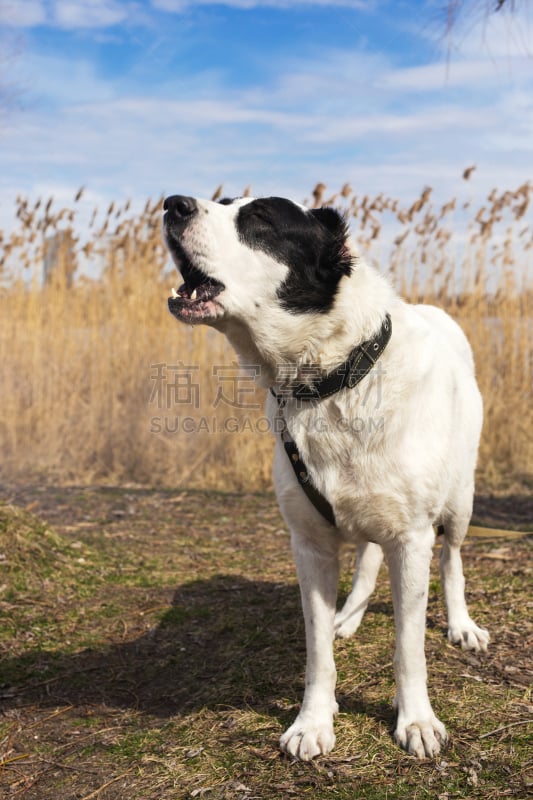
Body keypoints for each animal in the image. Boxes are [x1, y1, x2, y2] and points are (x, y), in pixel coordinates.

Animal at [163, 194, 490, 764]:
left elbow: (408, 646)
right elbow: (317, 648)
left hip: (460, 500)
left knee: (451, 559)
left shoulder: (412, 538)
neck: (334, 378)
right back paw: (350, 616)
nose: (172, 204)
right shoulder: (310, 543)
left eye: (259, 221)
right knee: (368, 556)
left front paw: (417, 721)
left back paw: (460, 624)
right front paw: (313, 722)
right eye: (222, 202)